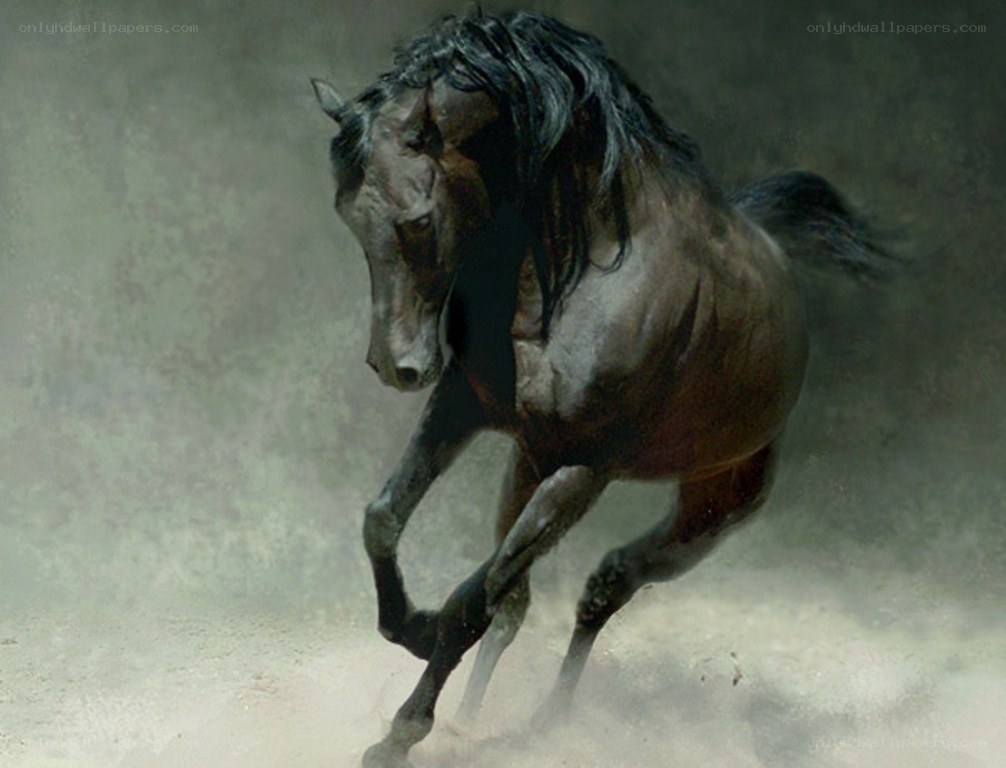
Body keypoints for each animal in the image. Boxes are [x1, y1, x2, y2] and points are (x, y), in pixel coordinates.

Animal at [311, 9, 891, 767]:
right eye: (349, 215)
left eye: (419, 220)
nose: (396, 366)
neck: (580, 269)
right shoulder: (465, 406)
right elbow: (385, 521)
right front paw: (411, 626)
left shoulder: (585, 466)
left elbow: (476, 597)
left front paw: (398, 733)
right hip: (526, 464)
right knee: (525, 603)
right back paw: (477, 720)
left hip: (709, 510)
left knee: (604, 585)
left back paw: (551, 723)